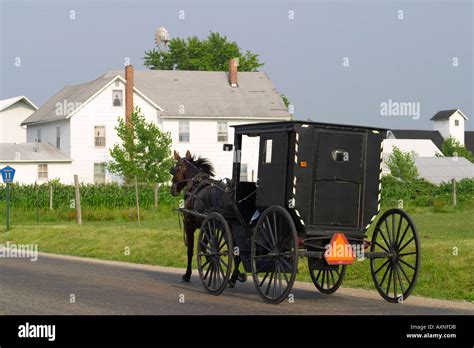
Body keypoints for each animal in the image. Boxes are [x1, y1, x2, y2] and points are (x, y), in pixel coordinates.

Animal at [169, 151, 244, 286]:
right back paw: (234, 277)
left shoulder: (190, 225)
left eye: (174, 169)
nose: (172, 190)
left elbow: (191, 250)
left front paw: (187, 274)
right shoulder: (208, 225)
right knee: (238, 253)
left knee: (237, 253)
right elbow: (204, 247)